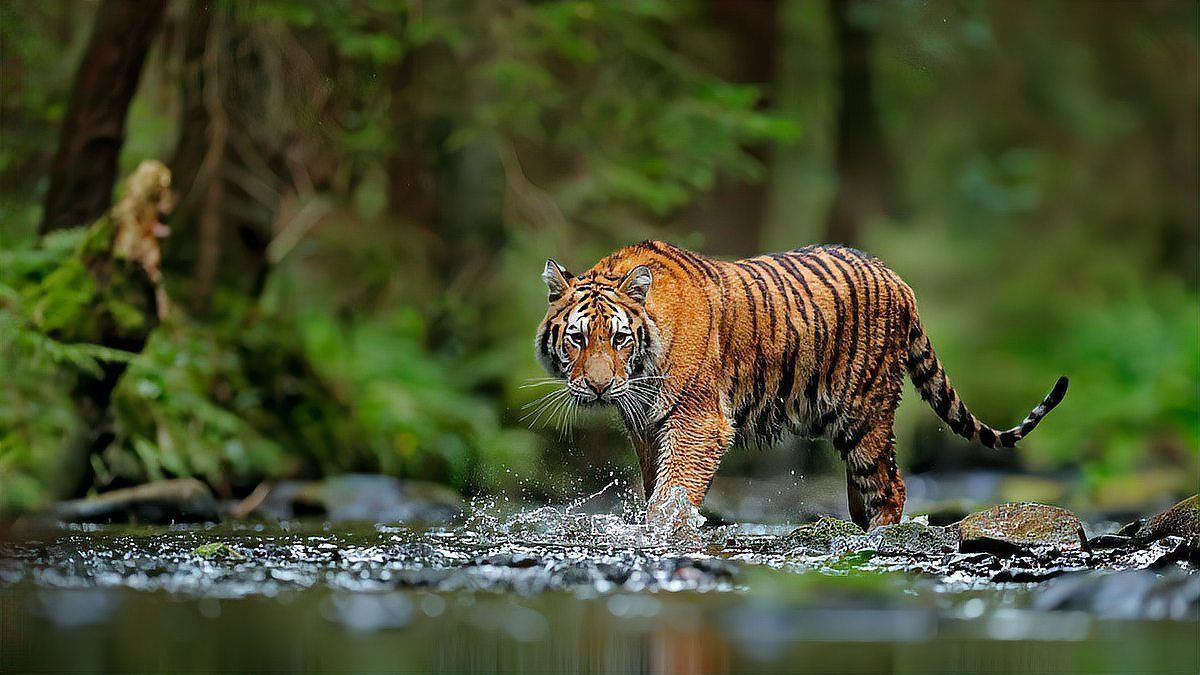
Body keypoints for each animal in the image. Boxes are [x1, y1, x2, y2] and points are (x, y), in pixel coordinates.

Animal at [534, 240, 1068, 530]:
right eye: (578, 338)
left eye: (619, 338)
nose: (599, 388)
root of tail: (899, 279)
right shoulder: (645, 428)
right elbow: (654, 489)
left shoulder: (698, 423)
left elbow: (672, 494)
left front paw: (665, 535)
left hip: (865, 414)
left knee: (890, 487)